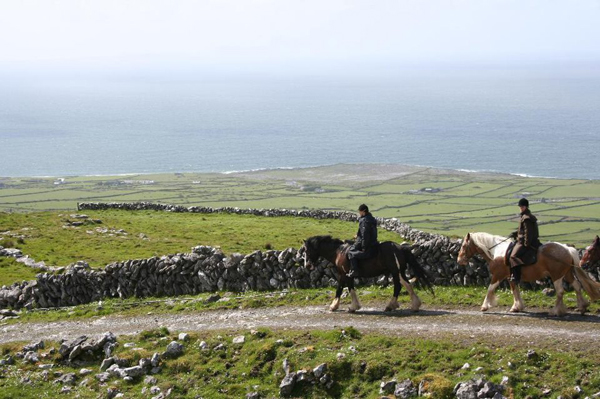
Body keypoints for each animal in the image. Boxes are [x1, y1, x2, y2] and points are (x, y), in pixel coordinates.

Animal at [302, 236, 434, 314]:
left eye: (307, 250)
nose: (307, 266)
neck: (340, 252)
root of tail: (401, 248)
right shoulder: (346, 275)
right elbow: (347, 288)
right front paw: (348, 306)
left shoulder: (344, 274)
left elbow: (342, 289)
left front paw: (339, 306)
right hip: (399, 272)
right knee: (407, 285)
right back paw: (415, 305)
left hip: (394, 272)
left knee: (398, 286)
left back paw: (390, 306)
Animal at [458, 233, 596, 318]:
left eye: (464, 245)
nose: (459, 260)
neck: (497, 251)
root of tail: (567, 249)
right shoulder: (511, 277)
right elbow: (515, 291)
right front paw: (517, 307)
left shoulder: (498, 275)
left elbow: (490, 289)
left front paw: (484, 306)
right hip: (567, 274)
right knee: (577, 286)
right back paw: (582, 307)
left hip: (557, 276)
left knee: (560, 291)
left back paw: (556, 311)